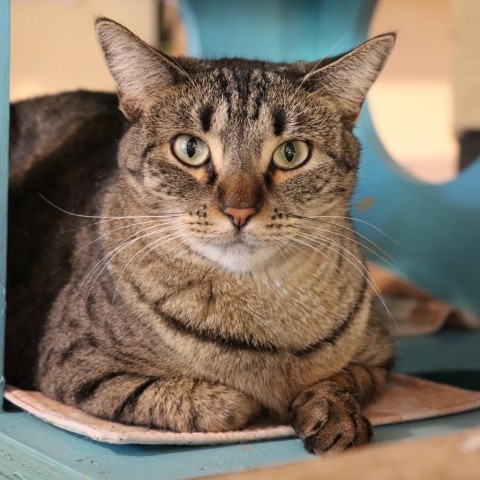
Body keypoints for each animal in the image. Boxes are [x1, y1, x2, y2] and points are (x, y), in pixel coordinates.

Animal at [5, 18, 396, 454]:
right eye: (190, 149)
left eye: (291, 153)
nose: (239, 210)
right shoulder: (75, 364)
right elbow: (210, 402)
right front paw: (256, 402)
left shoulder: (379, 356)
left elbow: (341, 378)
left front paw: (333, 413)